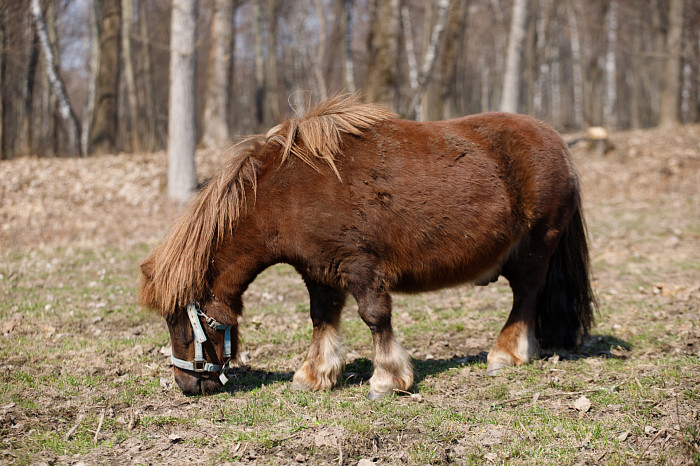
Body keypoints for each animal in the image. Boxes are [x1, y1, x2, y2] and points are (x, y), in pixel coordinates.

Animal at [138, 93, 596, 396]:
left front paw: (388, 379)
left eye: (181, 320)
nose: (186, 383)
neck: (290, 194)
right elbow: (322, 319)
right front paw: (314, 374)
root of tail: (557, 142)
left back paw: (505, 354)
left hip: (536, 248)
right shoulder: (319, 270)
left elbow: (375, 317)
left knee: (526, 296)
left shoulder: (360, 266)